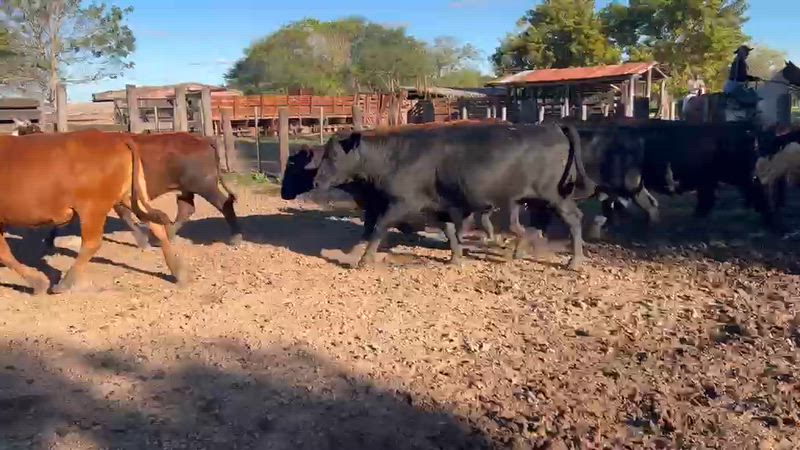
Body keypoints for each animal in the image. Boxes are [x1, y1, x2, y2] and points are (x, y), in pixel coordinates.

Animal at [0, 130, 188, 295]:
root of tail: (116, 138)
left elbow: (4, 254)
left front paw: (37, 283)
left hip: (92, 208)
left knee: (91, 243)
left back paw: (64, 284)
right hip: (130, 196)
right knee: (157, 227)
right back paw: (180, 273)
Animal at [13, 128, 244, 250]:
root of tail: (201, 138)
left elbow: (126, 216)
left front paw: (141, 241)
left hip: (205, 184)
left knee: (224, 204)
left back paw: (236, 237)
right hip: (187, 187)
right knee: (186, 209)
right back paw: (166, 236)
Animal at [306, 122, 594, 269]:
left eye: (333, 156)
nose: (316, 180)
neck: (395, 156)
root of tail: (555, 127)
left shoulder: (401, 203)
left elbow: (379, 227)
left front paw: (365, 259)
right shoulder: (437, 204)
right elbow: (449, 231)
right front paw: (456, 258)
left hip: (555, 195)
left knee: (573, 219)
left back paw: (575, 261)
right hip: (535, 198)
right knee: (533, 224)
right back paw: (520, 251)